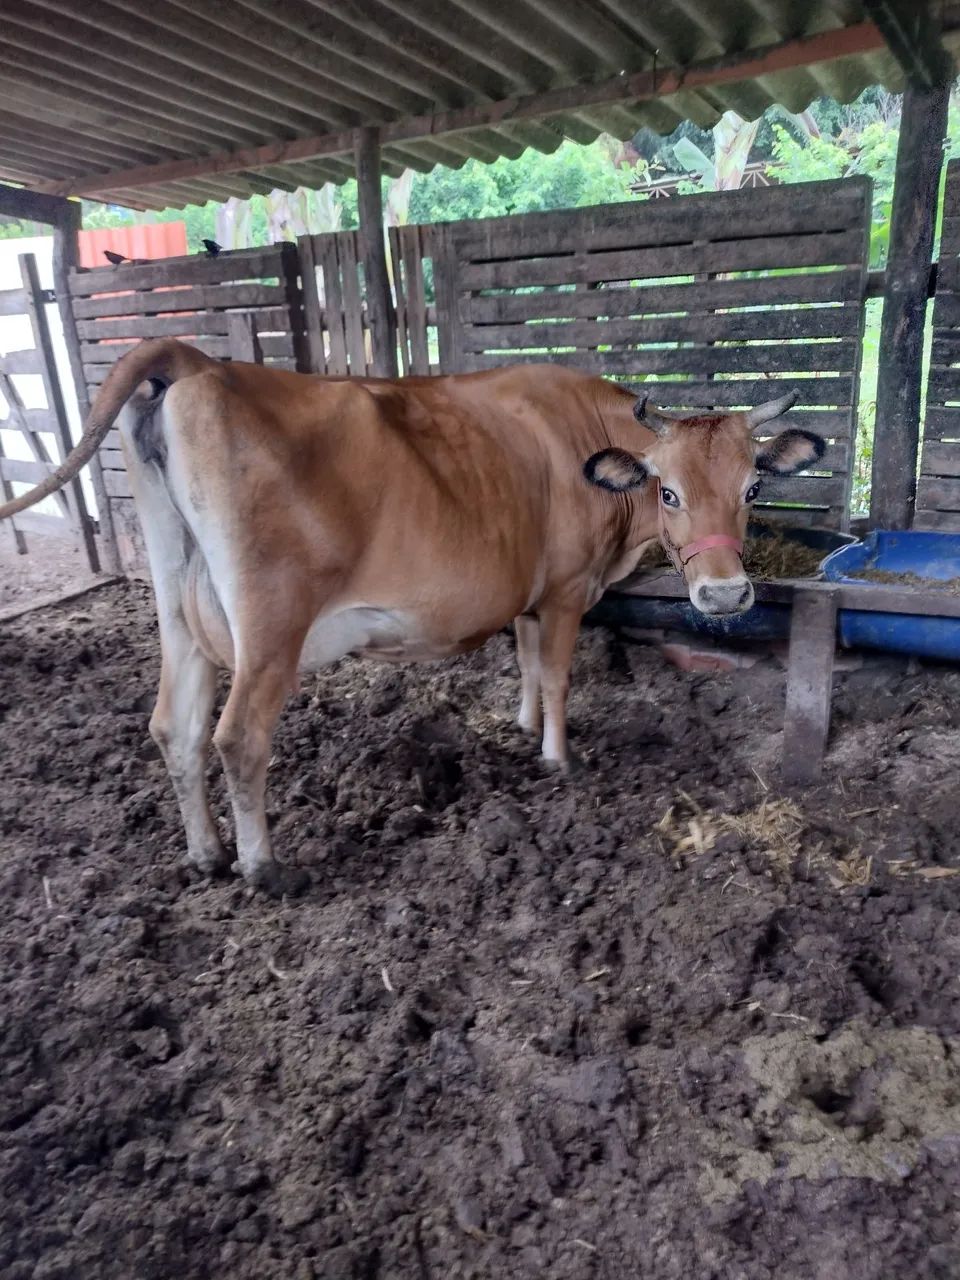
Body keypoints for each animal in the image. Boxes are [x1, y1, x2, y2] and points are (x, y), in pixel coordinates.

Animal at [0, 340, 824, 896]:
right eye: (668, 491)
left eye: (752, 489)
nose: (725, 596)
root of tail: (202, 364)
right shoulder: (564, 589)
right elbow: (558, 674)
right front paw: (556, 758)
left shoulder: (529, 594)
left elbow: (528, 662)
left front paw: (522, 726)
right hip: (270, 626)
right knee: (237, 737)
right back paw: (265, 868)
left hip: (177, 607)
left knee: (174, 724)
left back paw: (205, 855)